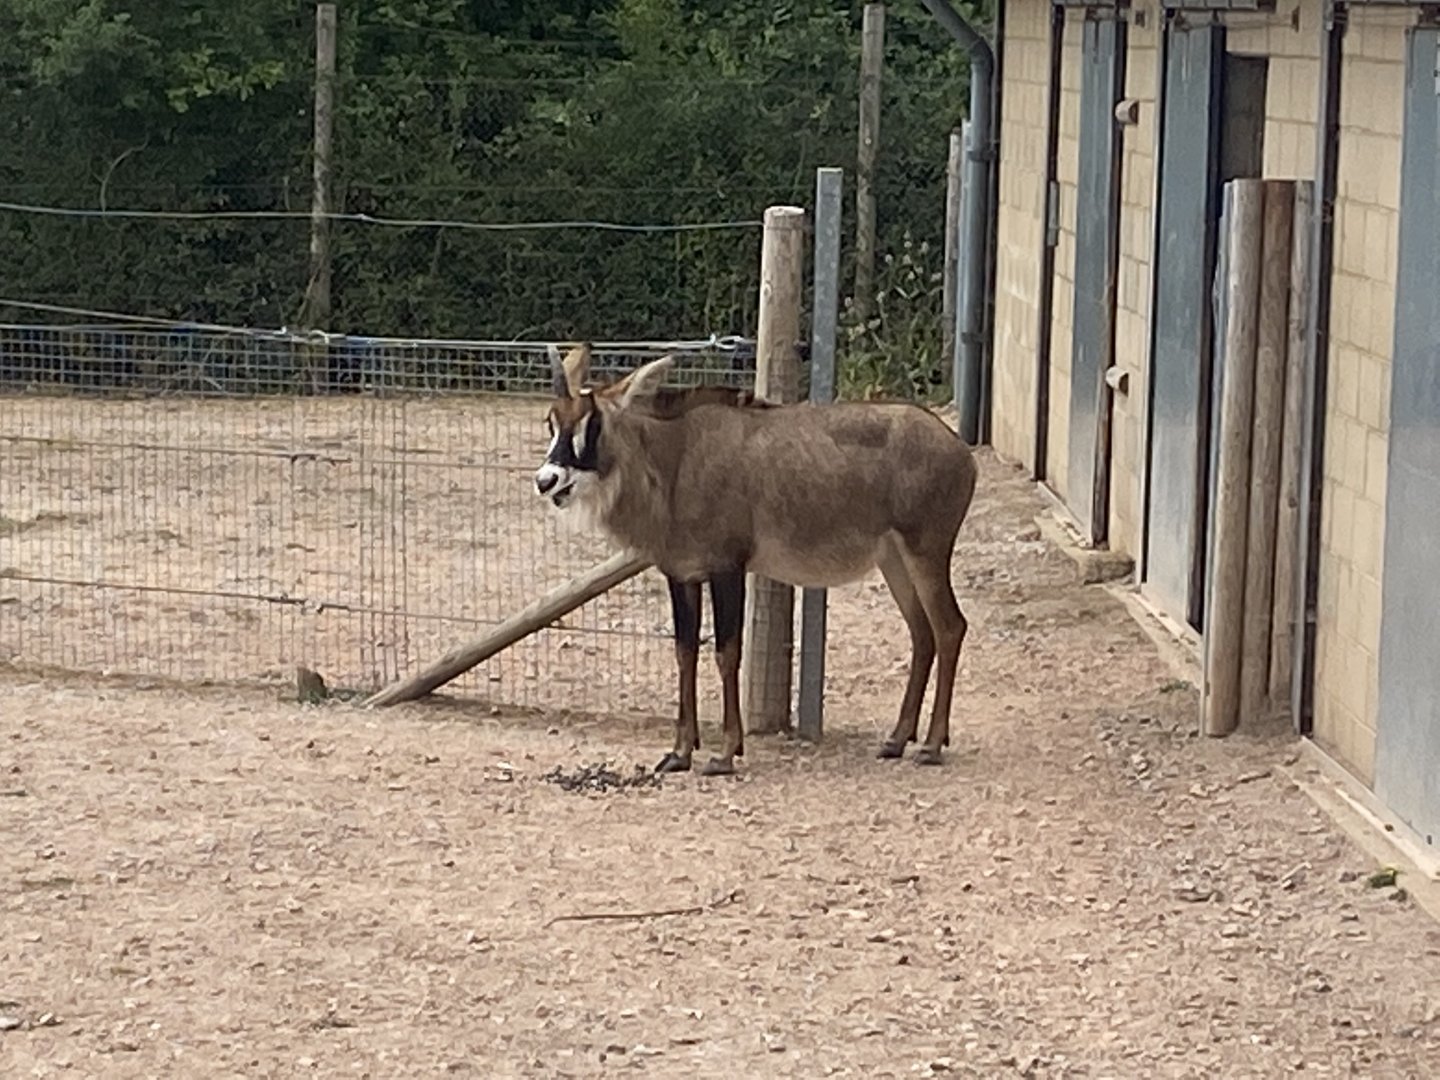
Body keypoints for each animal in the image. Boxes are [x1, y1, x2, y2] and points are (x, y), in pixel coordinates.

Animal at [534, 343, 977, 776]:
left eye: (592, 423)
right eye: (552, 422)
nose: (546, 481)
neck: (675, 459)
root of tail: (962, 452)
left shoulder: (727, 568)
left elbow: (726, 653)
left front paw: (726, 753)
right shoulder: (681, 575)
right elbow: (684, 652)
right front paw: (680, 752)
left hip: (926, 550)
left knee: (949, 627)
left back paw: (932, 745)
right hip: (894, 560)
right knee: (922, 632)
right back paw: (897, 740)